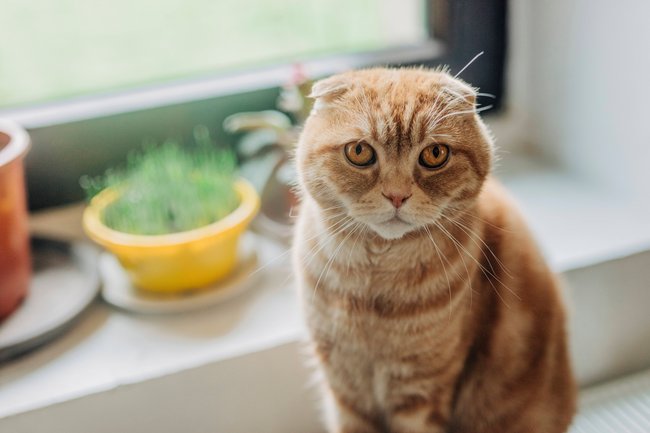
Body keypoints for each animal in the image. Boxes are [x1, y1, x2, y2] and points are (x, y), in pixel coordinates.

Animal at [292, 68, 576, 432]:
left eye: (435, 155)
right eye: (359, 151)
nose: (397, 195)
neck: (373, 286)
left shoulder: (421, 392)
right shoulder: (345, 387)